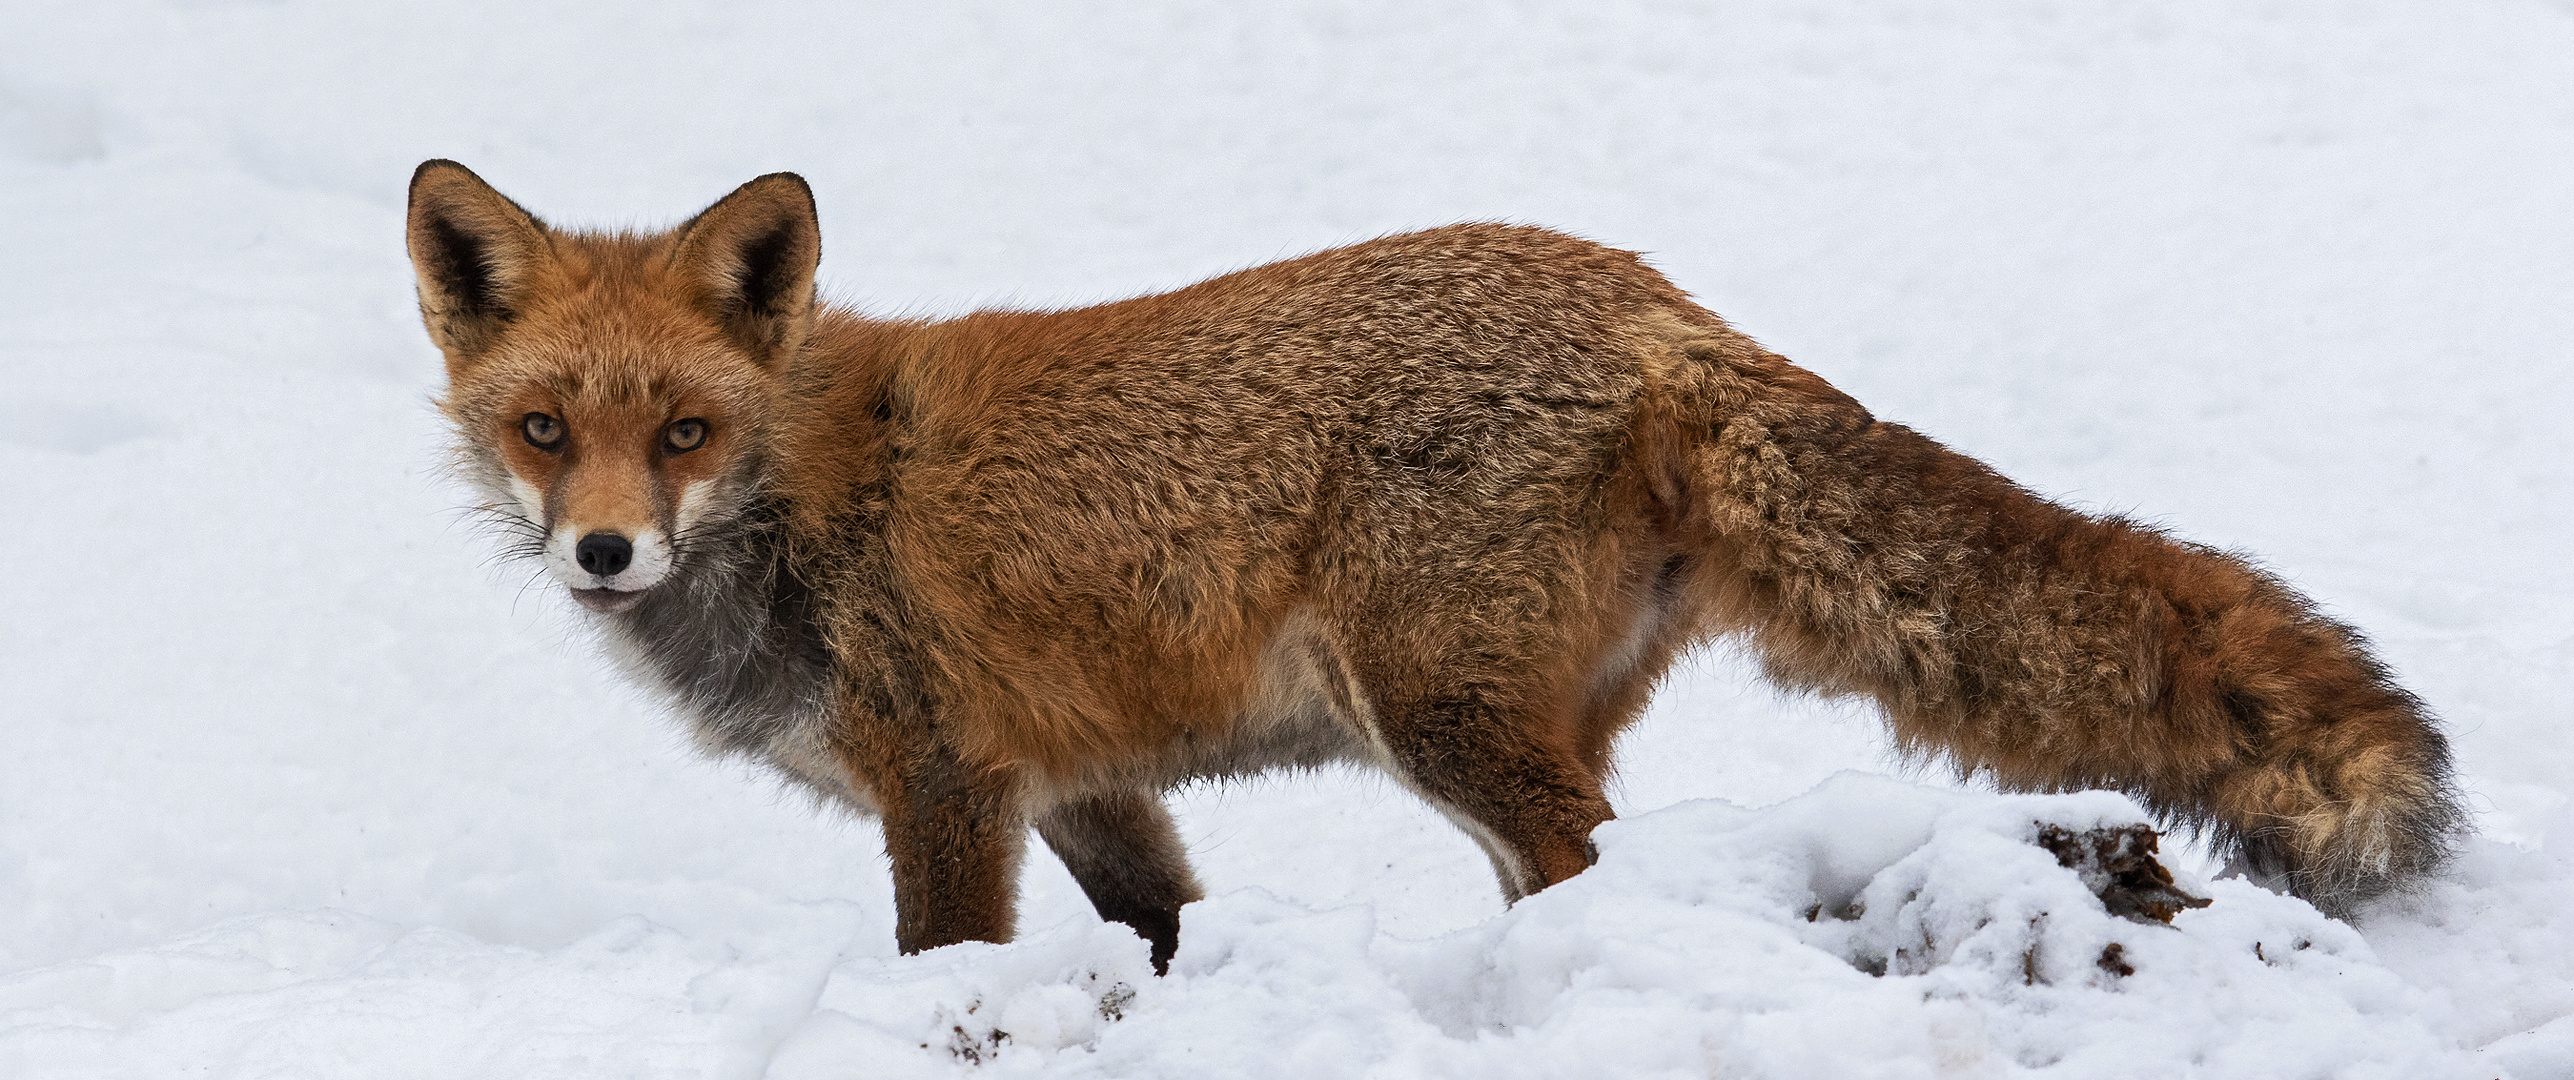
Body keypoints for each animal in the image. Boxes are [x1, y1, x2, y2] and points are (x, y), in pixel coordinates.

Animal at [411, 162, 2460, 977]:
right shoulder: (1088, 789)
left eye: (685, 431)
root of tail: (1655, 305)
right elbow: (1160, 937)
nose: (603, 547)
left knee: (1595, 868)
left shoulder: (946, 779)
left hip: (1440, 719)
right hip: (1506, 726)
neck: (812, 499)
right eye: (546, 429)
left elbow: (946, 959)